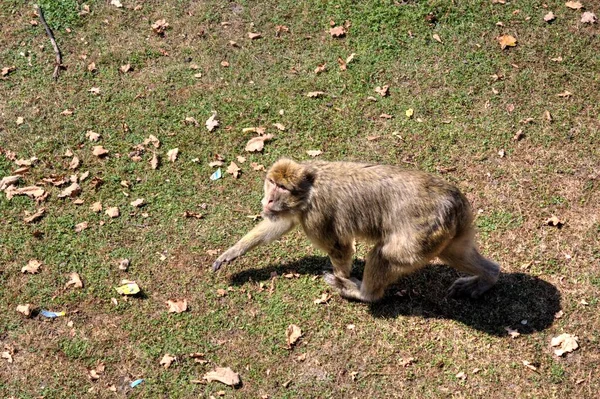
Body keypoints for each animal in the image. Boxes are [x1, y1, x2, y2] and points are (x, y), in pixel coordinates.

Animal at [213, 159, 500, 304]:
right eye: (271, 183)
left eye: (282, 187)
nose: (269, 199)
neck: (309, 188)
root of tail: (452, 202)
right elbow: (281, 223)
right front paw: (234, 251)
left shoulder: (317, 215)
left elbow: (339, 247)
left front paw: (342, 277)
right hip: (452, 231)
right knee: (456, 253)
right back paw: (489, 277)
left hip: (423, 233)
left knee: (385, 255)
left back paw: (363, 294)